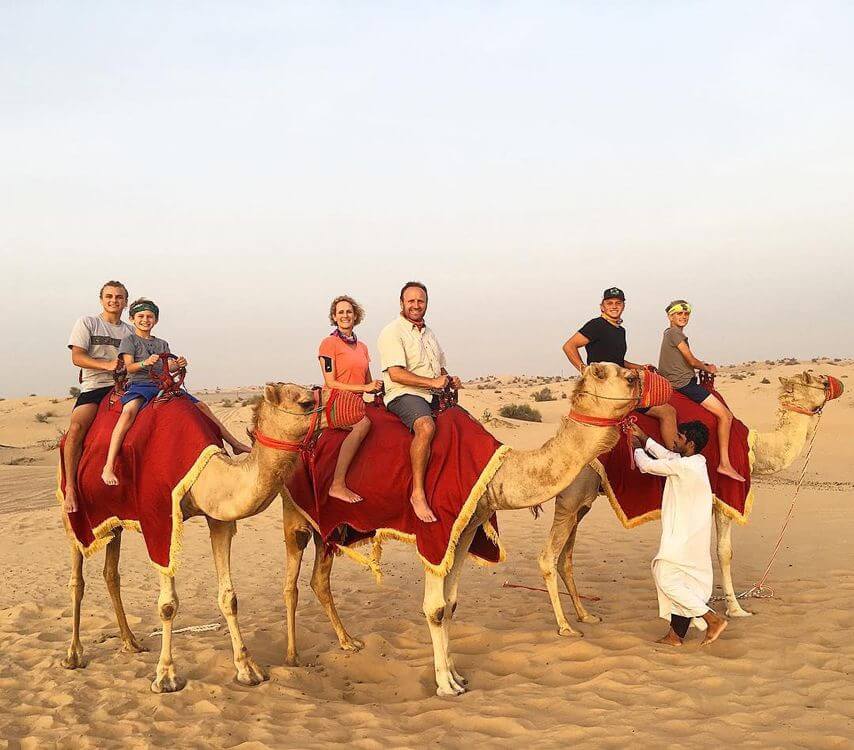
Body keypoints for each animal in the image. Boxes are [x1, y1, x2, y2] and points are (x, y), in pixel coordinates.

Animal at [60, 383, 333, 693]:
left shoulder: (219, 518)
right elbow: (167, 605)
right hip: (73, 514)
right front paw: (166, 676)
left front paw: (248, 669)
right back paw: (73, 655)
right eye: (305, 402)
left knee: (110, 573)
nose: (344, 404)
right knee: (77, 580)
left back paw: (130, 642)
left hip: (114, 519)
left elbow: (229, 597)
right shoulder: (158, 522)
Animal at [278, 363, 664, 696]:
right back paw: (291, 657)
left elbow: (450, 604)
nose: (638, 378)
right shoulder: (435, 535)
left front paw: (457, 675)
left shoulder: (465, 532)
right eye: (601, 371)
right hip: (295, 516)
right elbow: (434, 608)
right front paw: (445, 686)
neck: (498, 473)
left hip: (329, 530)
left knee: (319, 579)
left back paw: (348, 642)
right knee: (291, 583)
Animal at [537, 371, 843, 636]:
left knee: (565, 557)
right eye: (818, 380)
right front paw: (736, 609)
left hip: (581, 504)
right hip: (573, 497)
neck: (754, 448)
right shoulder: (725, 496)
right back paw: (565, 627)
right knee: (549, 556)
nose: (836, 383)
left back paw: (585, 614)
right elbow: (724, 552)